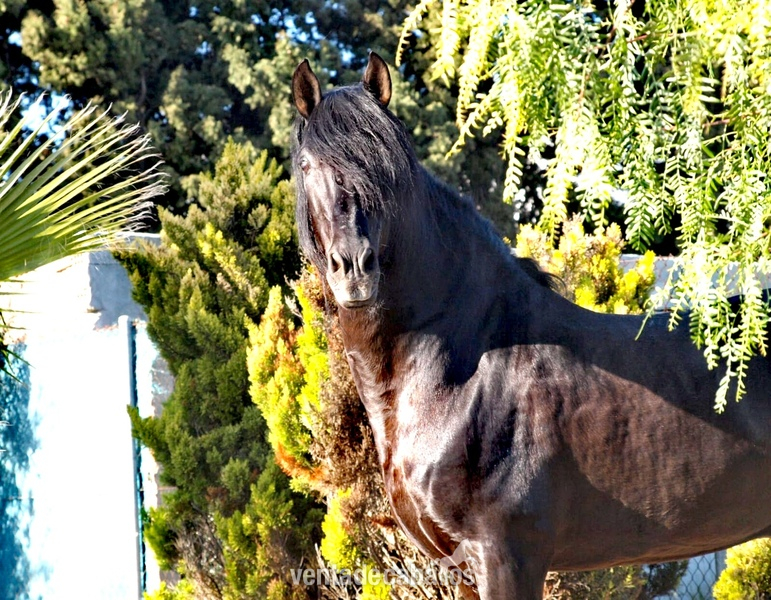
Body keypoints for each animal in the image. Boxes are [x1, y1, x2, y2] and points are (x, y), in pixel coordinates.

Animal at [290, 53, 771, 599]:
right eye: (307, 165)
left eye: (386, 168)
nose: (353, 268)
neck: (465, 371)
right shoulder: (460, 569)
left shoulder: (507, 557)